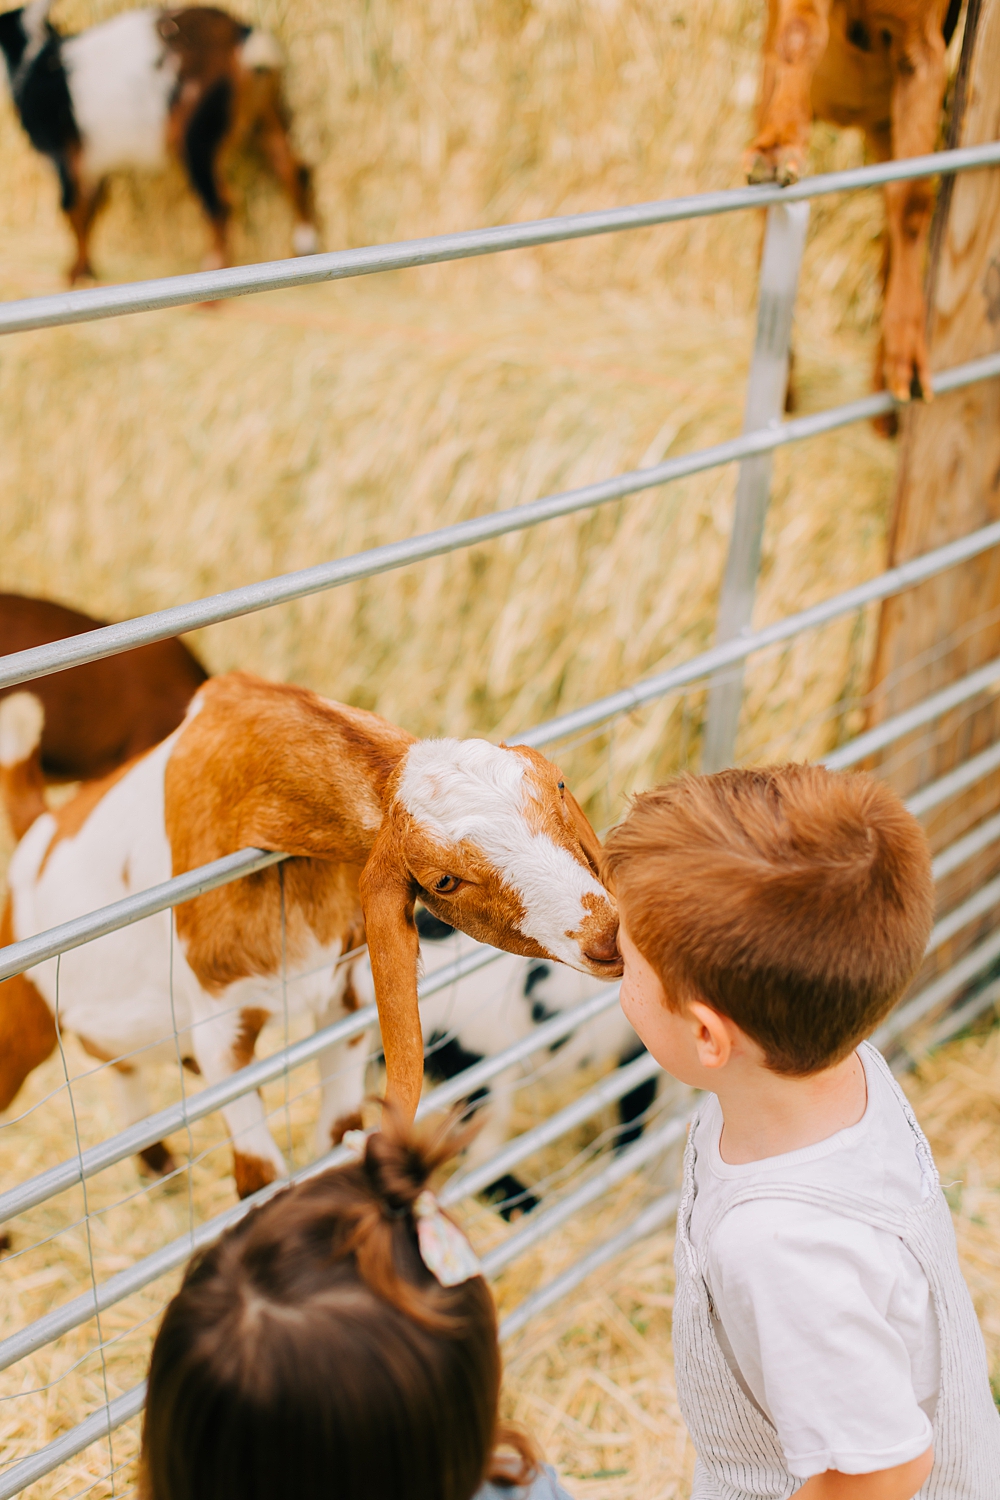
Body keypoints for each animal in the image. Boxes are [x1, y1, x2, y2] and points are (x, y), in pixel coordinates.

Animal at [0, 2, 319, 282]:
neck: (32, 61)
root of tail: (244, 41)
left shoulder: (63, 155)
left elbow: (73, 209)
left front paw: (75, 274)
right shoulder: (95, 161)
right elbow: (93, 207)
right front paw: (86, 270)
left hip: (197, 133)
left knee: (219, 204)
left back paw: (212, 290)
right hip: (266, 115)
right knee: (293, 169)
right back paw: (305, 244)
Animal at [0, 675, 620, 1200]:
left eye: (559, 787)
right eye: (443, 880)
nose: (608, 937)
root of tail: (36, 832)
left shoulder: (346, 998)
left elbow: (337, 1129)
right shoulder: (220, 1027)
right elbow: (260, 1176)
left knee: (119, 1065)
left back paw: (160, 1169)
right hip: (25, 1026)